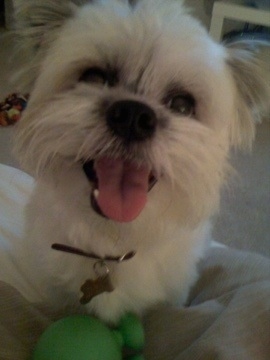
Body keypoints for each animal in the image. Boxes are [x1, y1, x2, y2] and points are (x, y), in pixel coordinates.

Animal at [12, 0, 268, 324]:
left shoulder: (172, 296)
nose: (133, 116)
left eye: (182, 104)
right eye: (94, 77)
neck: (113, 243)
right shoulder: (56, 296)